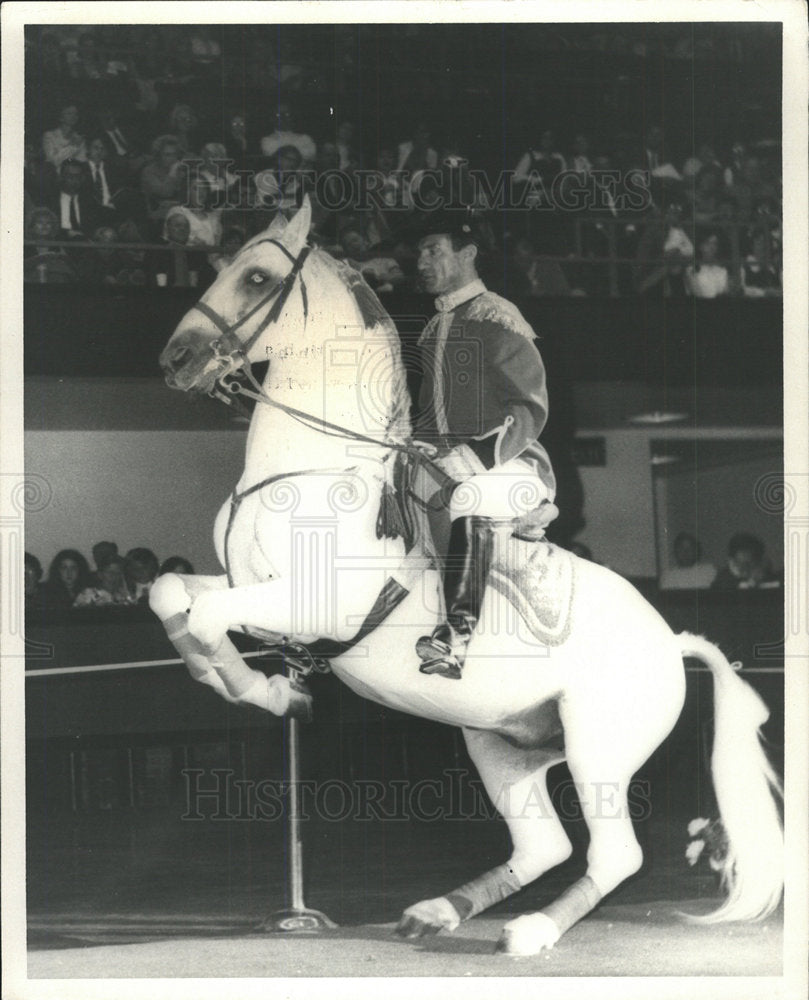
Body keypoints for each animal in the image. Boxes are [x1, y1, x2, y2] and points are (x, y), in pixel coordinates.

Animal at [150, 197, 783, 956]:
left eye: (255, 277)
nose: (175, 359)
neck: (314, 464)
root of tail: (671, 641)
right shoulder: (250, 592)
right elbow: (173, 596)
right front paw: (268, 687)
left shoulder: (314, 605)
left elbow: (206, 618)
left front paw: (267, 692)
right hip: (499, 746)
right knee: (544, 847)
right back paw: (437, 913)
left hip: (597, 747)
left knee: (613, 855)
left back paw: (532, 930)